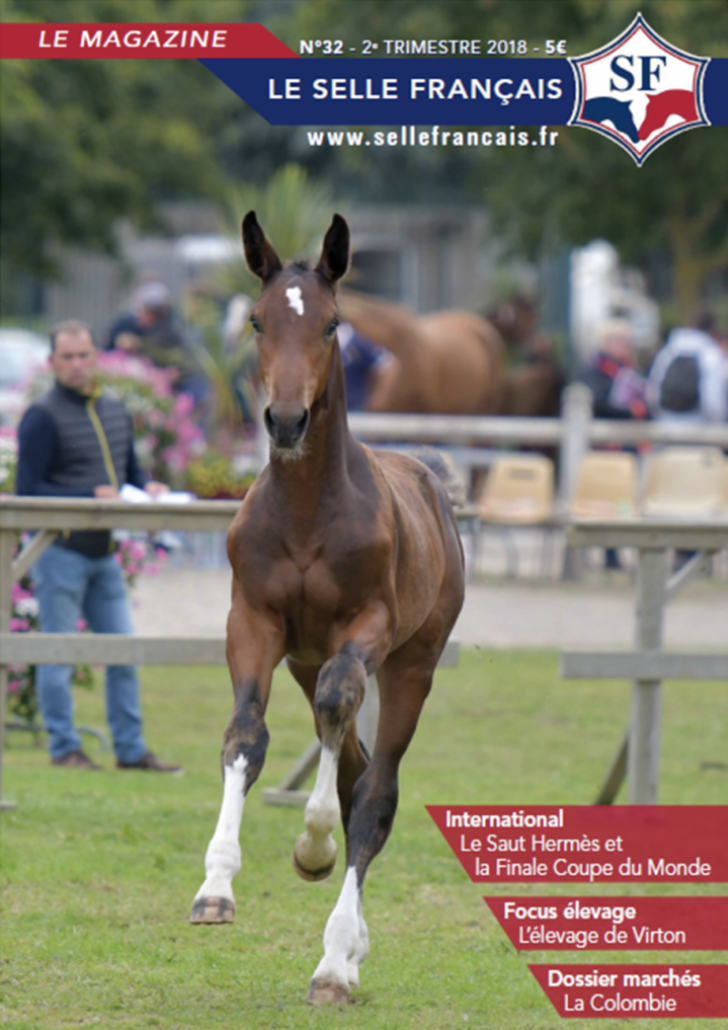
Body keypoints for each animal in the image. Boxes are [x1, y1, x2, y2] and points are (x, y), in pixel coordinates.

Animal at [190, 211, 463, 1005]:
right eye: (257, 320)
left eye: (333, 324)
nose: (286, 420)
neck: (309, 511)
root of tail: (429, 478)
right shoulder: (252, 623)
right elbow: (245, 737)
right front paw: (215, 887)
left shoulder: (364, 632)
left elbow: (346, 726)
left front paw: (312, 846)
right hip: (305, 660)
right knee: (353, 767)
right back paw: (353, 941)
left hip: (412, 664)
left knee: (375, 787)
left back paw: (336, 960)